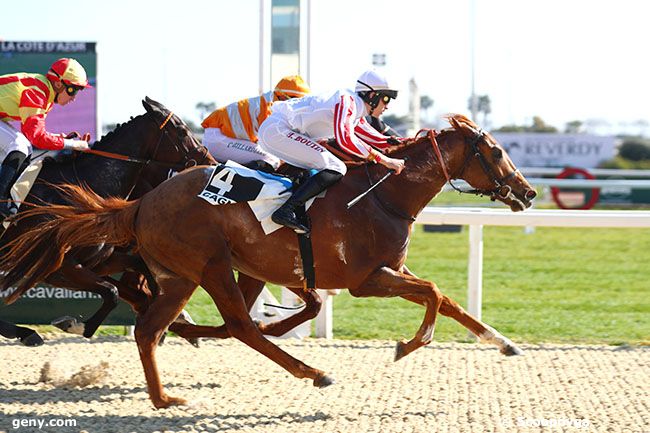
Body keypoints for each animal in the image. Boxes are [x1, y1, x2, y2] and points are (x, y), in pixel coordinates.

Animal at [0, 96, 214, 342]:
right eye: (181, 131)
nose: (210, 162)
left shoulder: (99, 261)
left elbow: (137, 275)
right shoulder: (59, 268)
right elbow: (112, 292)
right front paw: (76, 325)